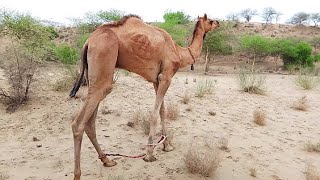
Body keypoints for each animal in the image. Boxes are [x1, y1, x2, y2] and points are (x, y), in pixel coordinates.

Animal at [69, 13, 220, 179]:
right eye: (210, 20)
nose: (218, 23)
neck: (179, 52)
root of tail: (88, 41)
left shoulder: (157, 79)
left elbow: (162, 111)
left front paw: (167, 145)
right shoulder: (166, 76)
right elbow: (154, 113)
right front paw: (149, 154)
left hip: (92, 77)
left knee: (90, 122)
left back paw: (107, 160)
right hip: (104, 55)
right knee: (79, 123)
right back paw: (78, 174)